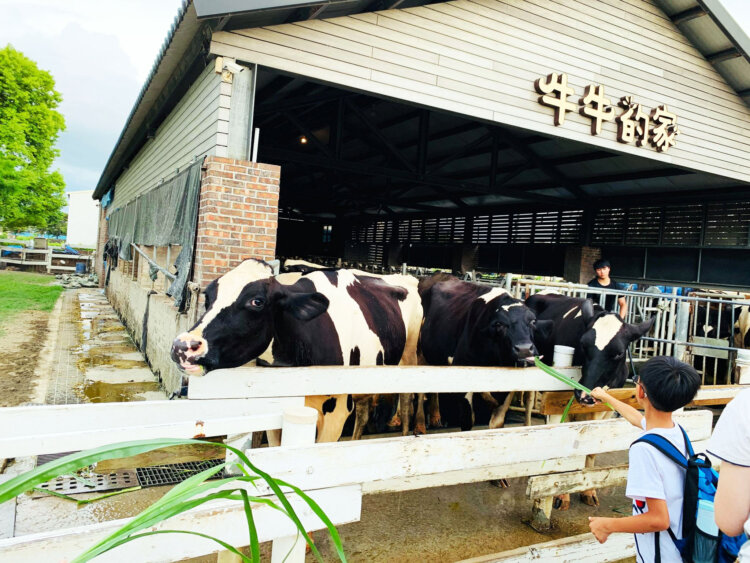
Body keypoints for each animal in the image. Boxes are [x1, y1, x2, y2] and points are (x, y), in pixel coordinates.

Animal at [173, 258, 426, 442]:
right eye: (208, 296)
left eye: (257, 301)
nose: (183, 346)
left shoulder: (337, 411)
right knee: (363, 412)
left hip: (409, 358)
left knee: (406, 400)